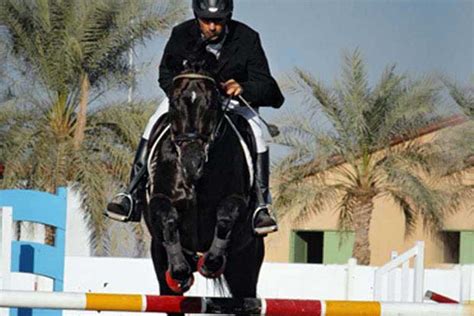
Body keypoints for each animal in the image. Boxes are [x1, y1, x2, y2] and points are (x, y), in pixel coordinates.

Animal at [143, 55, 264, 314]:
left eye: (211, 103)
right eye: (174, 101)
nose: (192, 164)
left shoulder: (238, 200)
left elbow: (227, 214)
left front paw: (211, 262)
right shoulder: (159, 199)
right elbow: (167, 215)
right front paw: (179, 270)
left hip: (246, 264)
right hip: (158, 258)